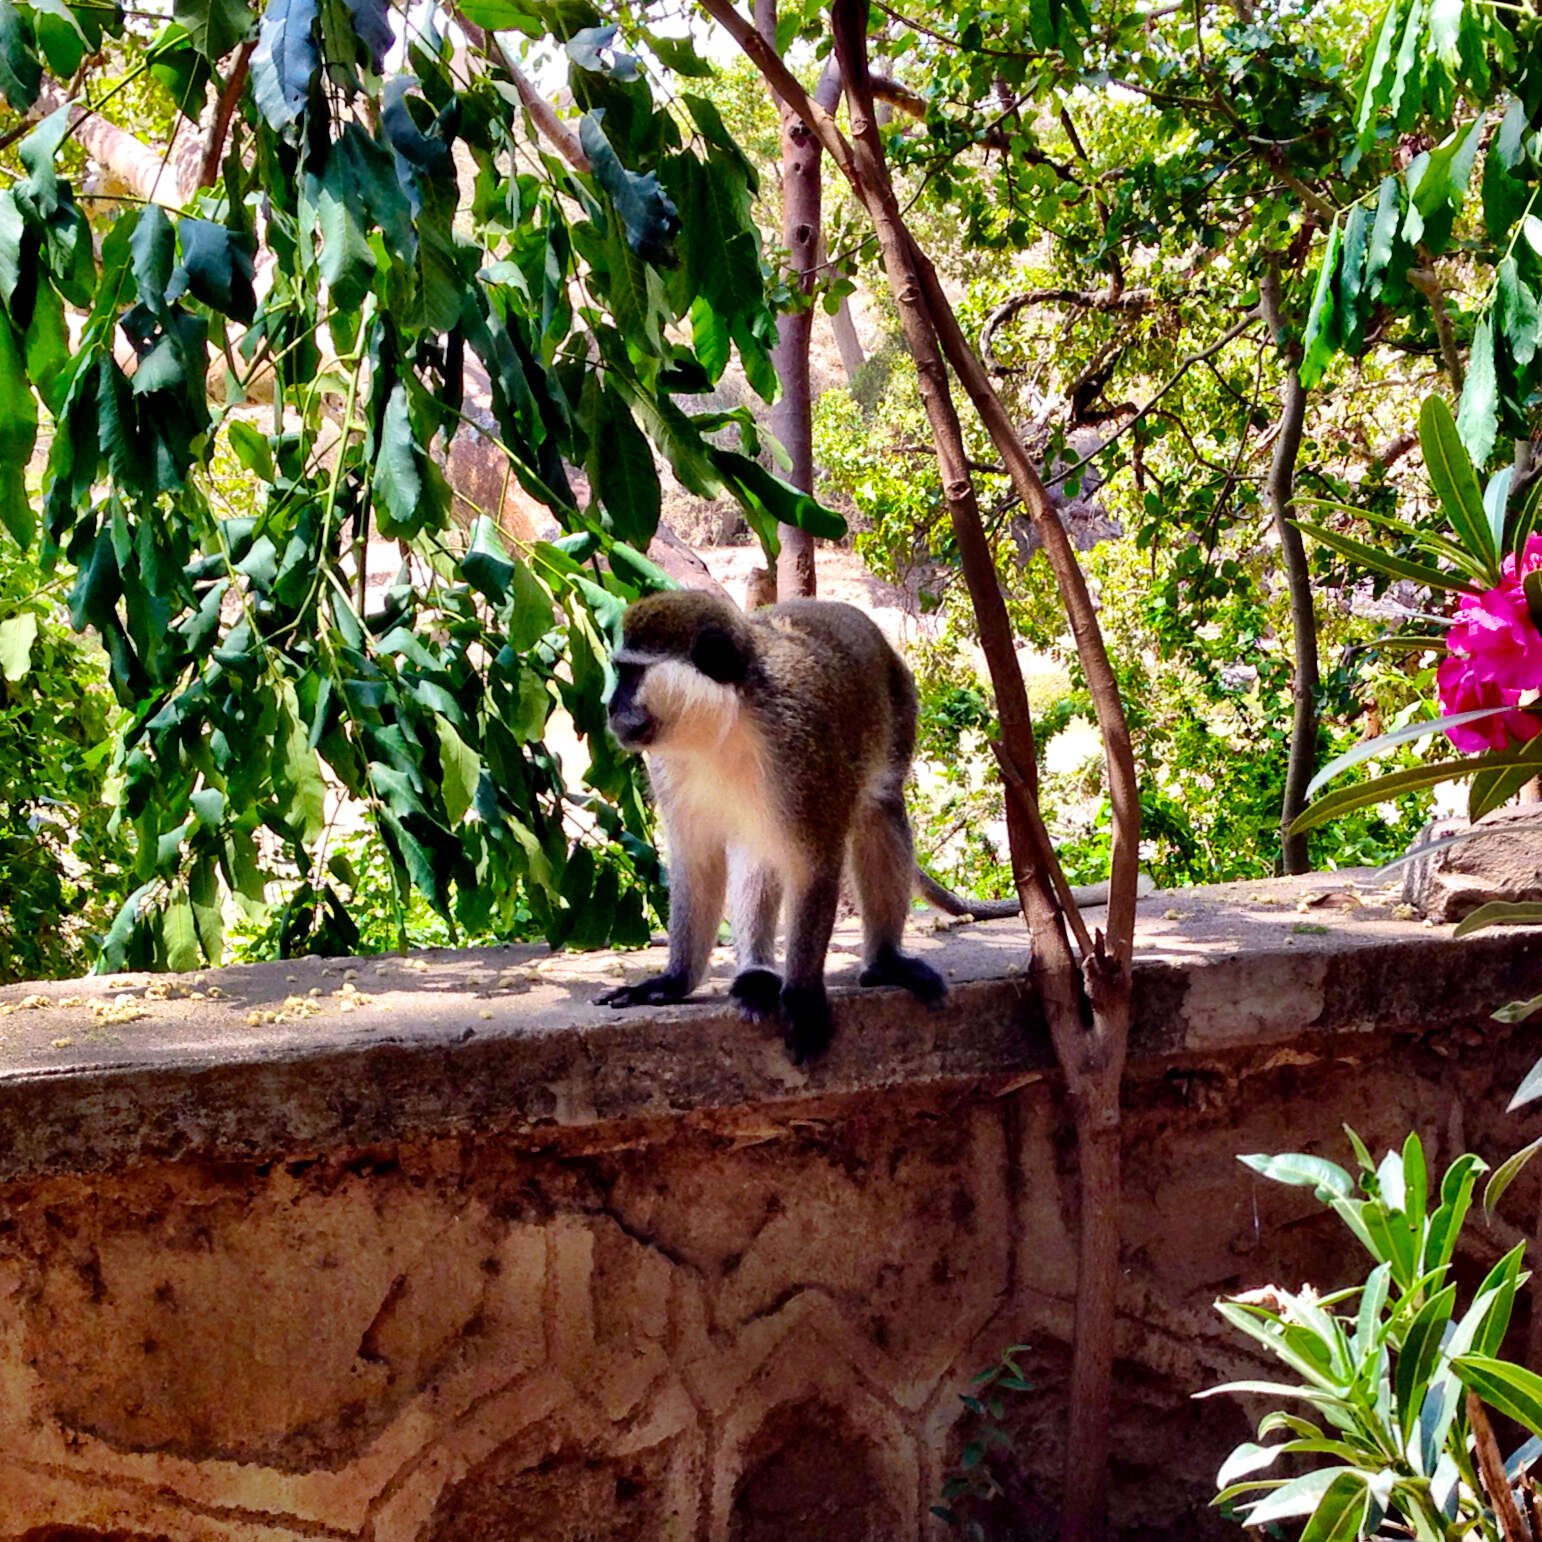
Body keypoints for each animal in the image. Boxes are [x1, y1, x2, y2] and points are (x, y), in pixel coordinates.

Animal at [595, 585, 1128, 1060]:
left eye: (629, 673)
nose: (609, 707)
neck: (724, 724)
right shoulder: (666, 768)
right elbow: (698, 864)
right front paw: (673, 982)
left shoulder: (803, 748)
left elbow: (815, 864)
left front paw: (802, 997)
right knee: (761, 850)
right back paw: (756, 977)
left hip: (900, 704)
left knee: (877, 815)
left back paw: (885, 962)